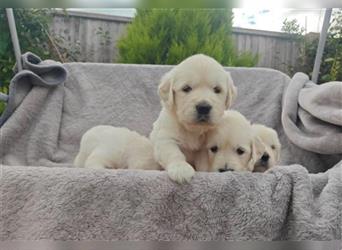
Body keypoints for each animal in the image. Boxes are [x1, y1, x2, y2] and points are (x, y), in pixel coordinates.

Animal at [150, 53, 238, 183]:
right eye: (186, 88)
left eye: (217, 89)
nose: (203, 107)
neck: (193, 130)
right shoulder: (165, 138)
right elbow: (173, 153)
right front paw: (181, 169)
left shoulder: (204, 149)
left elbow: (203, 163)